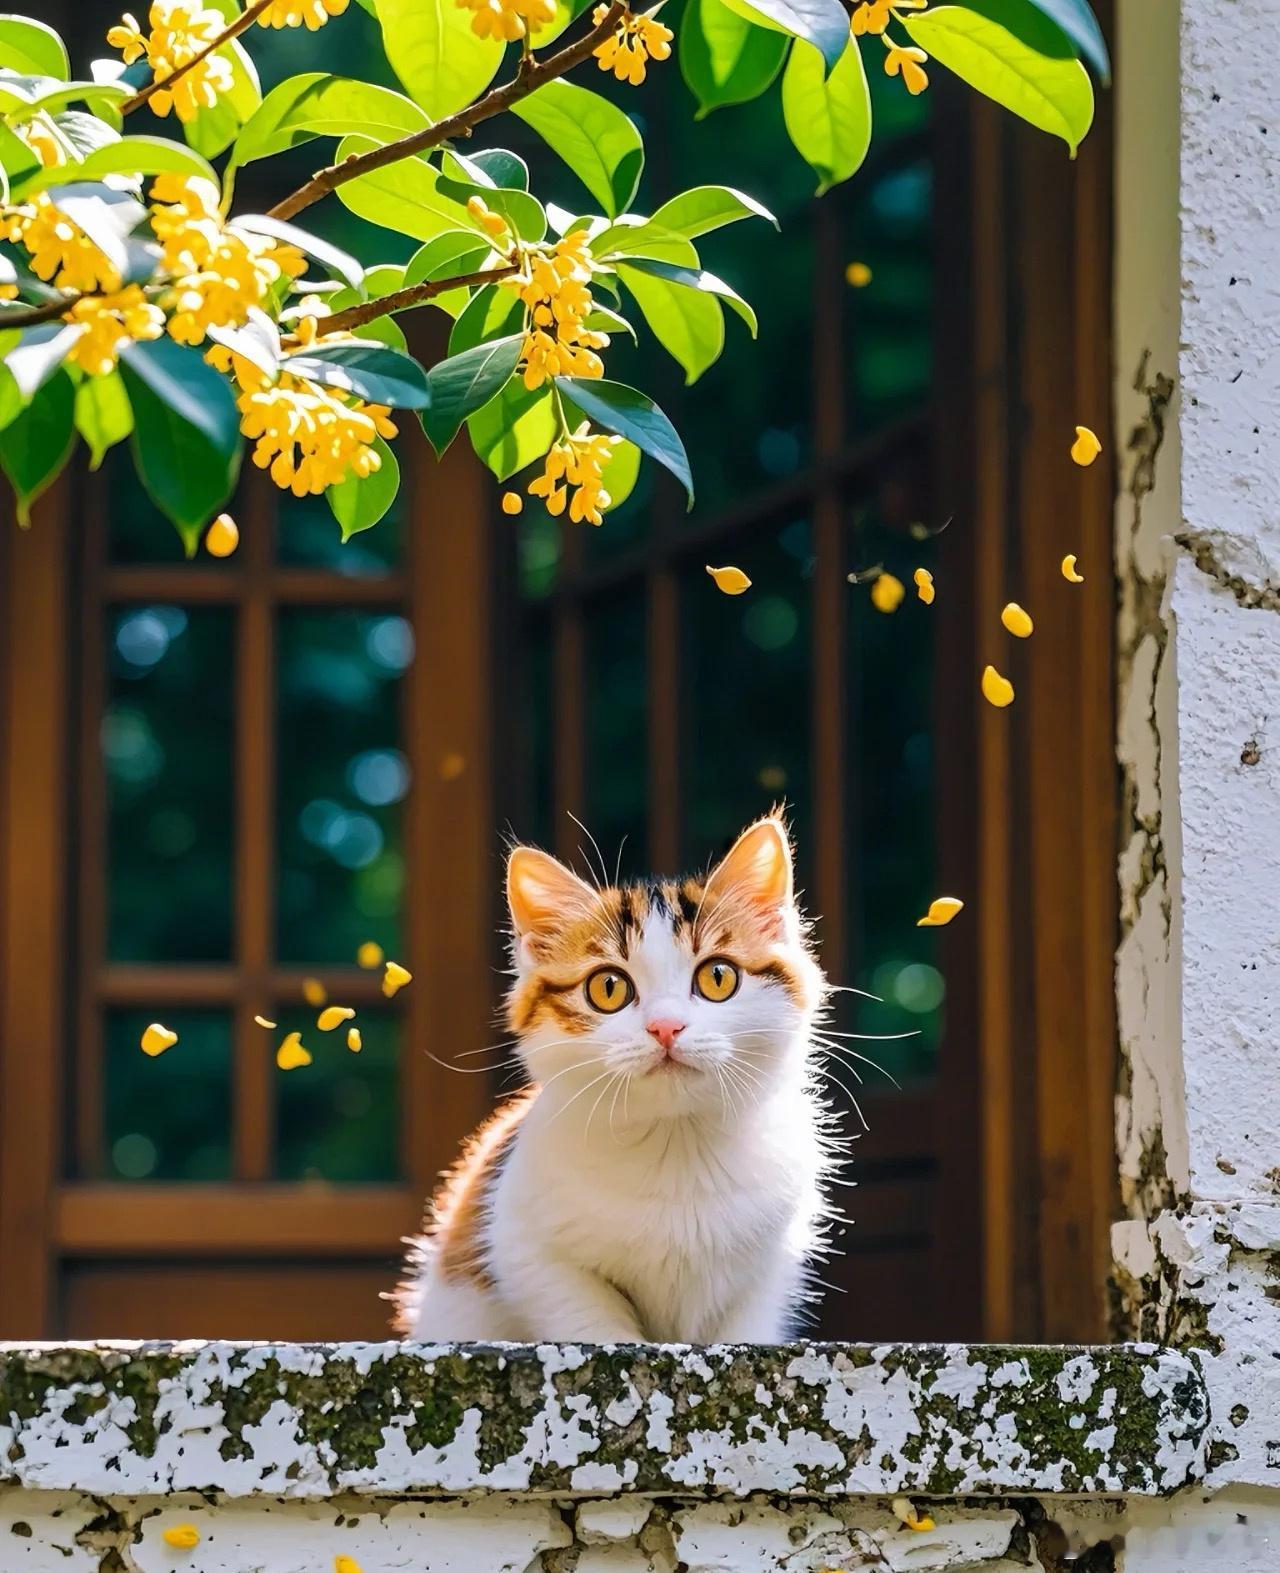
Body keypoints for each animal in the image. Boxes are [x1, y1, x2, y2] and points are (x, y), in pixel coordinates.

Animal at [400, 817, 842, 1346]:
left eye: (718, 977)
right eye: (608, 988)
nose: (666, 1027)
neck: (677, 1145)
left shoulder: (771, 1265)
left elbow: (745, 1326)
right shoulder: (525, 1244)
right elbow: (589, 1319)